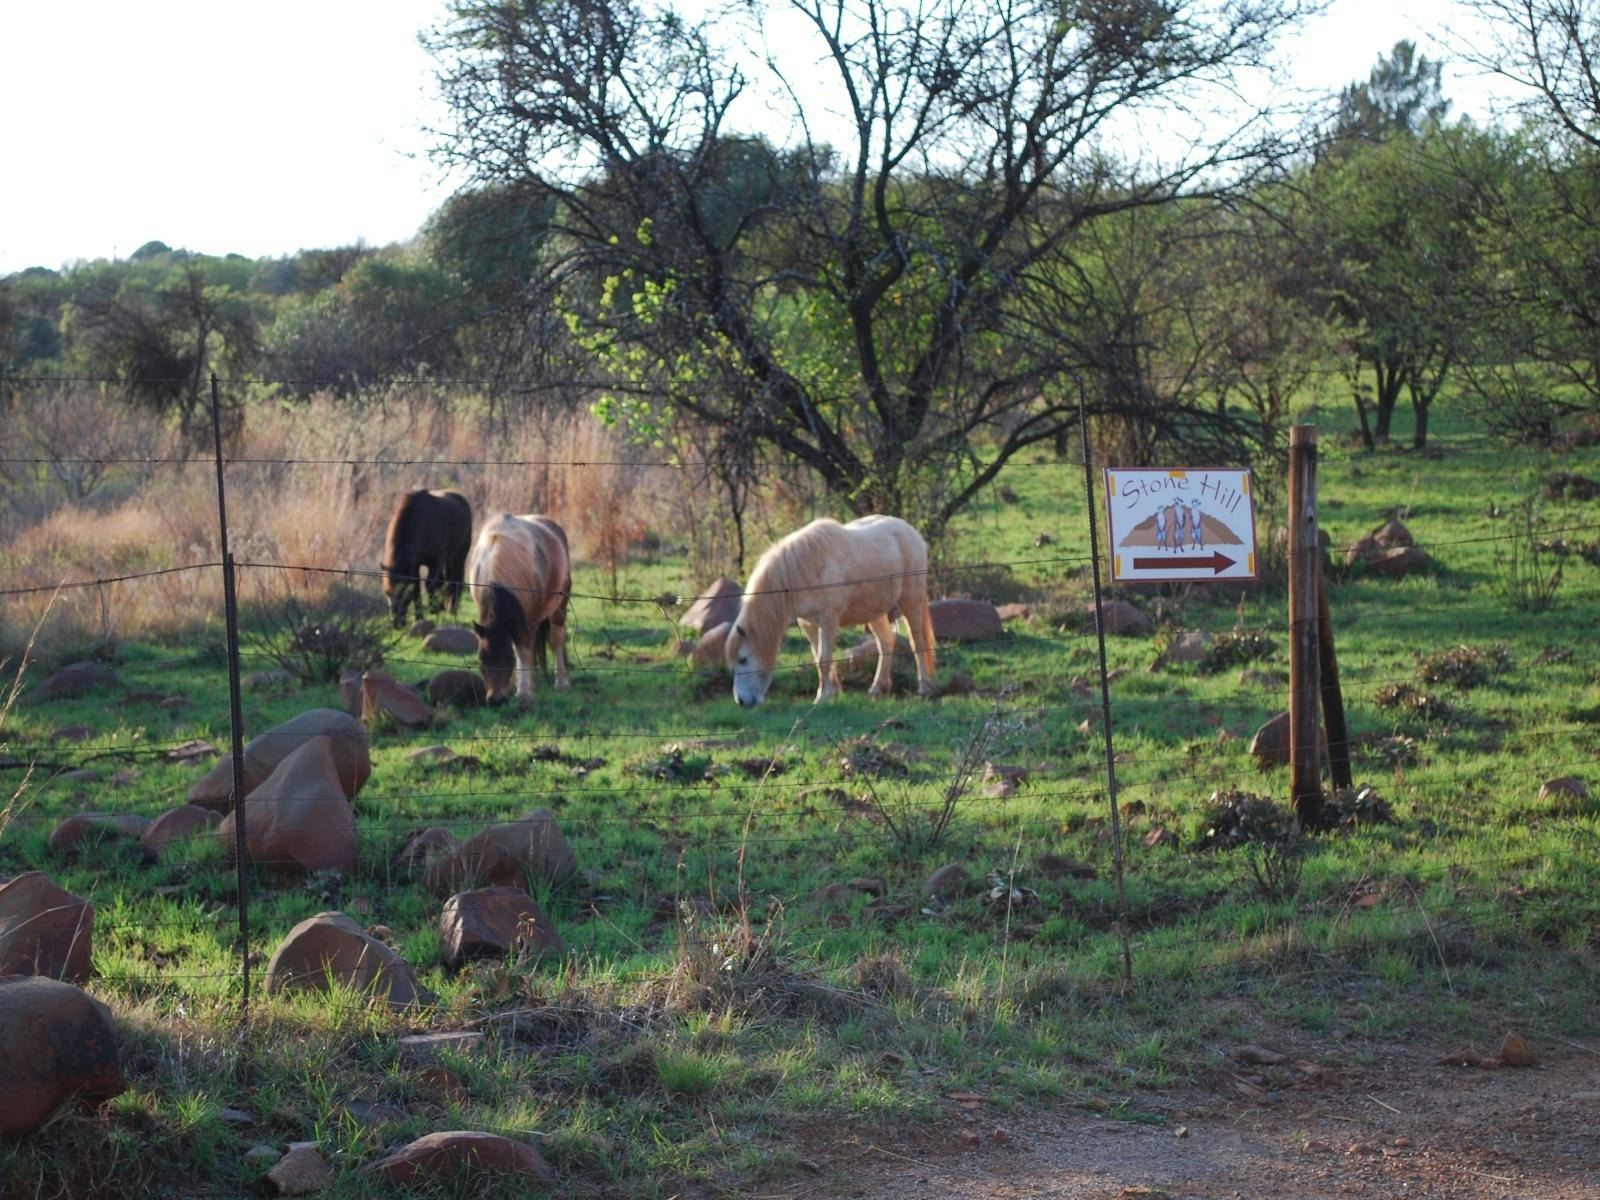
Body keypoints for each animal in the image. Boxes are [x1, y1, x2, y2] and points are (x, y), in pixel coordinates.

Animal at [381, 489, 473, 628]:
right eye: (387, 592)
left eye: (402, 592)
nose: (395, 624)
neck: (418, 523)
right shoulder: (414, 565)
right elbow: (416, 588)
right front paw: (418, 617)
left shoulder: (435, 563)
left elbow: (429, 584)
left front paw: (434, 609)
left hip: (458, 556)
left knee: (456, 579)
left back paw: (451, 608)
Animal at [467, 513, 572, 706]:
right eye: (481, 657)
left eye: (508, 658)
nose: (496, 700)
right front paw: (519, 686)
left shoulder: (527, 617)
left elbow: (523, 651)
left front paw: (523, 692)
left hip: (559, 607)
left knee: (556, 638)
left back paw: (561, 681)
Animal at [723, 515, 937, 707]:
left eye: (743, 659)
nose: (741, 701)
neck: (805, 569)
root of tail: (911, 531)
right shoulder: (808, 623)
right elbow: (819, 658)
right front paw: (832, 692)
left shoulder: (829, 620)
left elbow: (823, 659)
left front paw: (823, 697)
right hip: (875, 612)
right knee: (886, 642)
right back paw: (877, 689)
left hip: (911, 600)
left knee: (917, 642)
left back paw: (925, 688)